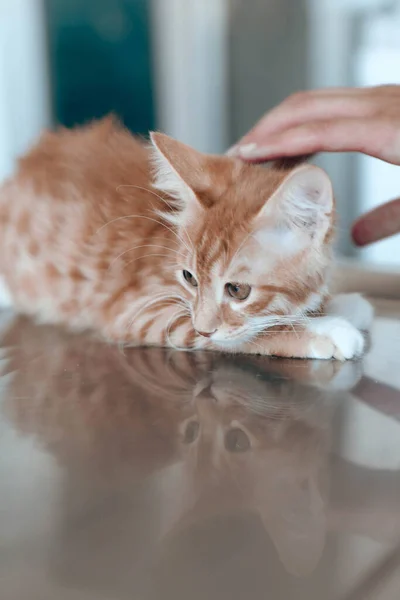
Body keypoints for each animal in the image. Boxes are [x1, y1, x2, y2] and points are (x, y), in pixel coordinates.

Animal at [0, 118, 372, 358]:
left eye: (237, 290)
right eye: (189, 278)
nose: (205, 326)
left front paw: (336, 305)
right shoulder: (141, 310)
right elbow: (242, 335)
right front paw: (325, 330)